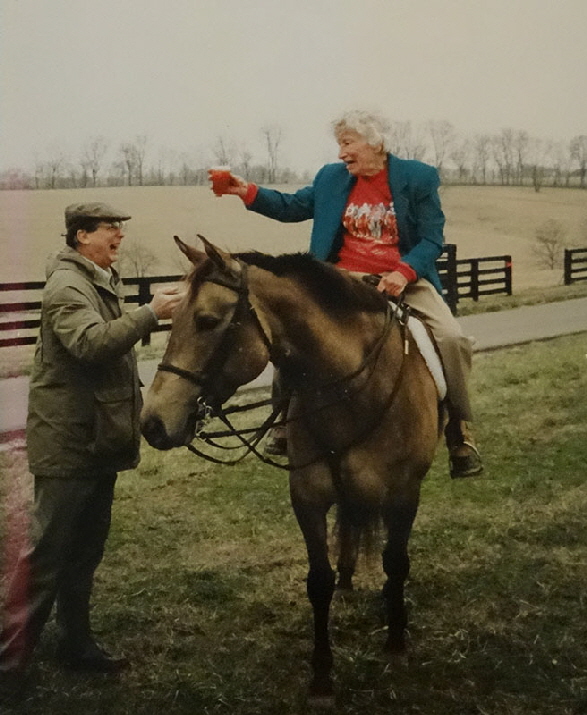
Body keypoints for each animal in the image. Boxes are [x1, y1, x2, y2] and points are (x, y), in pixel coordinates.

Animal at [140, 236, 443, 705]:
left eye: (208, 321)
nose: (152, 422)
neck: (354, 391)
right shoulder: (308, 497)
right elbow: (318, 582)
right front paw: (321, 677)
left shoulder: (404, 494)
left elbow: (396, 563)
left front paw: (396, 643)